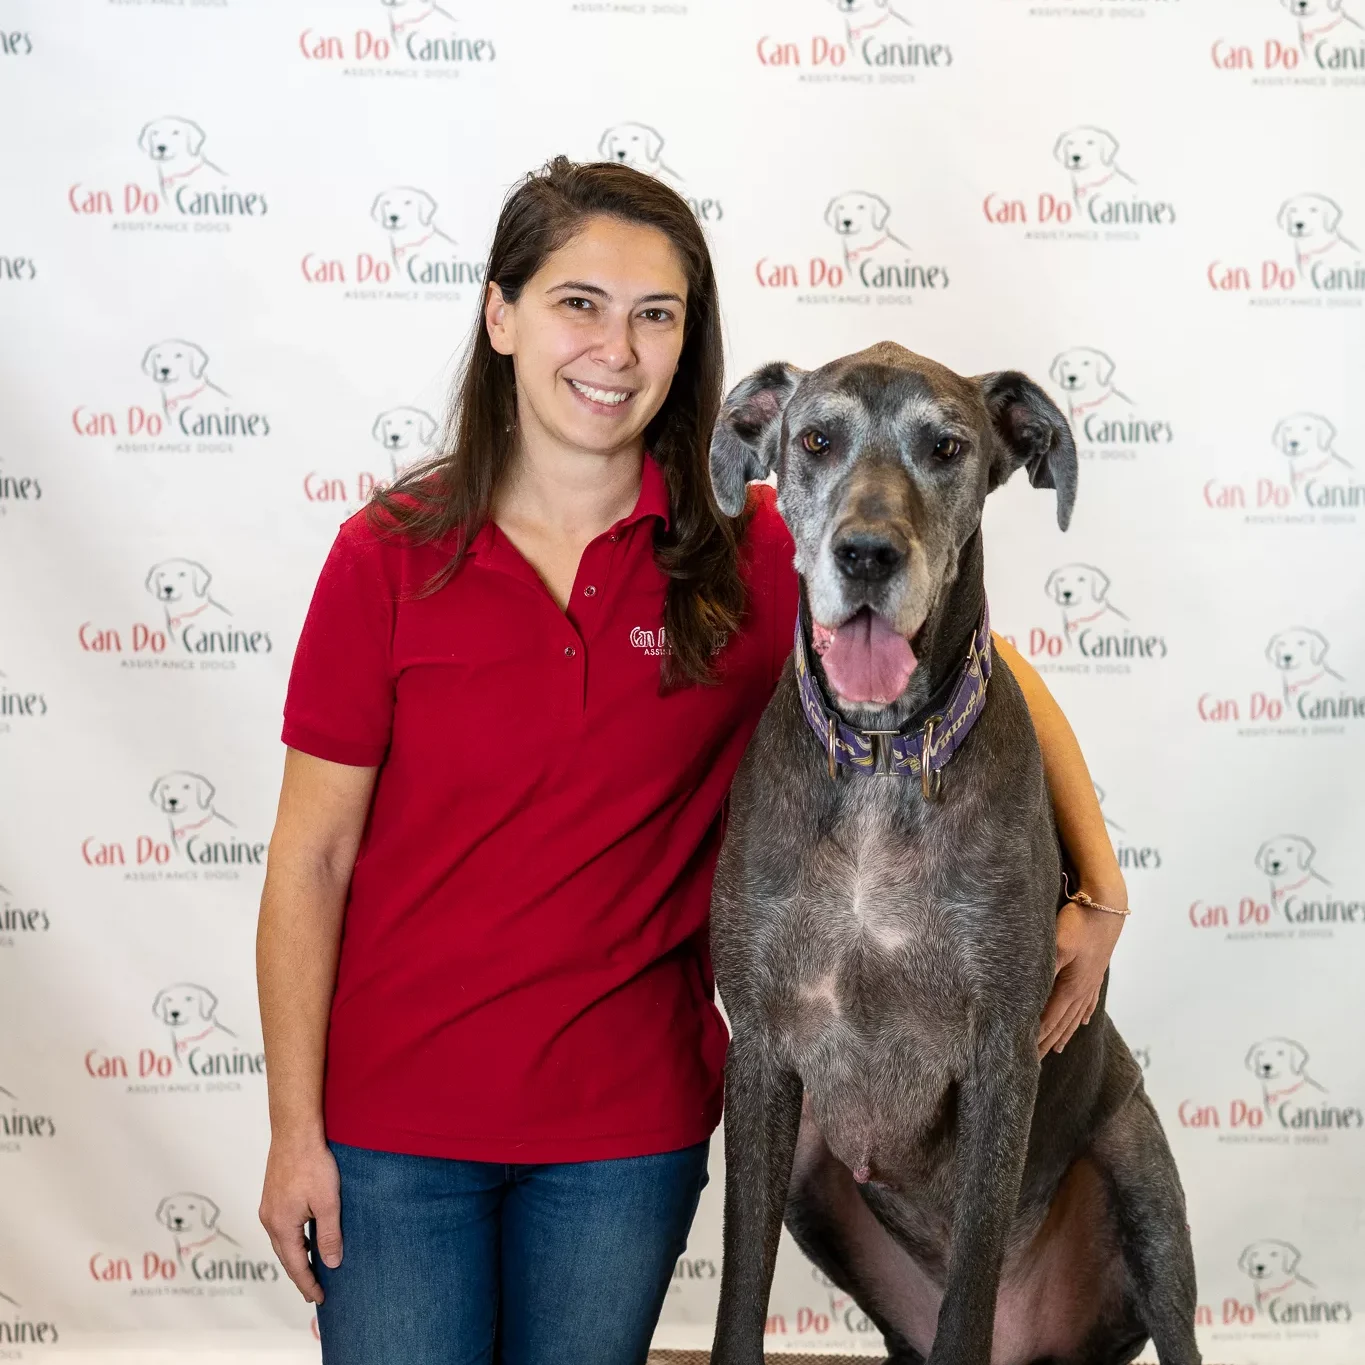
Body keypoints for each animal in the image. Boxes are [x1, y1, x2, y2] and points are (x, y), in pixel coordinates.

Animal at [709, 343, 1201, 1365]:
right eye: (814, 440)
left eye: (945, 446)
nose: (866, 553)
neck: (883, 756)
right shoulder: (762, 1053)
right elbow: (740, 1286)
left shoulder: (1000, 1058)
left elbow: (969, 1288)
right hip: (816, 1164)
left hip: (1139, 1167)